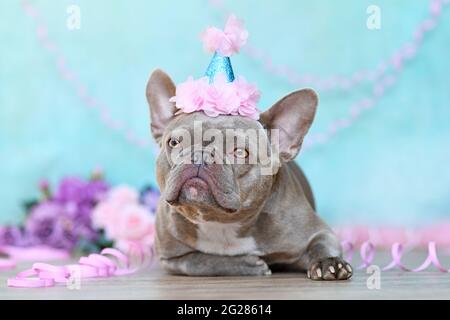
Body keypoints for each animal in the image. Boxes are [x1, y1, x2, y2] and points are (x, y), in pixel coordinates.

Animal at [144, 70, 352, 280]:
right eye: (174, 143)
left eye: (240, 152)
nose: (200, 155)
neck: (220, 223)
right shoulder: (171, 259)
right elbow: (200, 261)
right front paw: (247, 264)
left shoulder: (318, 232)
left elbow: (322, 243)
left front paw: (329, 262)